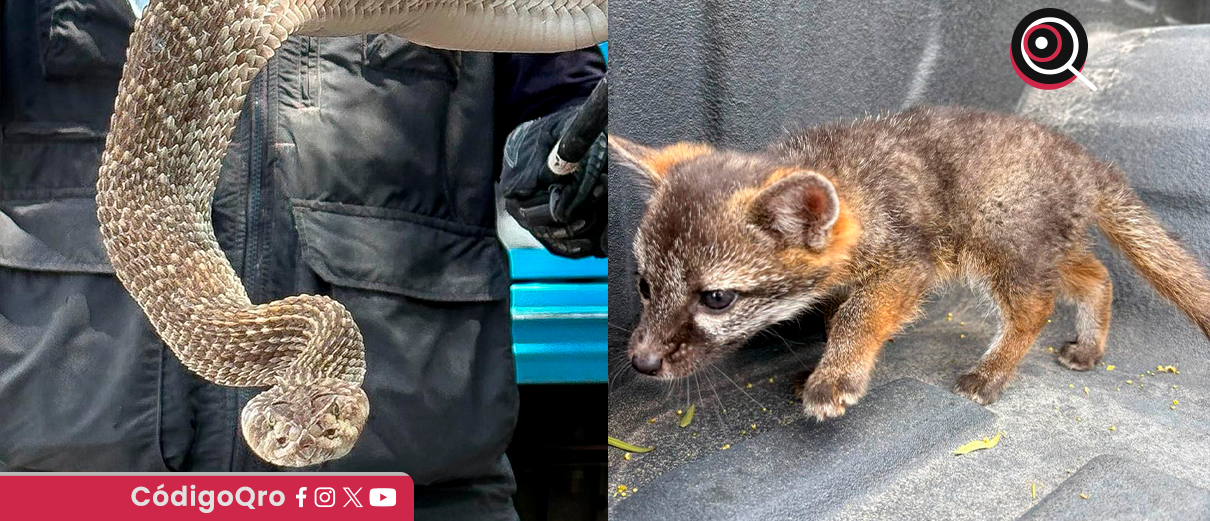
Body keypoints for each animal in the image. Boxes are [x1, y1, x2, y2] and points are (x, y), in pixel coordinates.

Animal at [611, 105, 1210, 421]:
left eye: (716, 298)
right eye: (644, 285)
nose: (641, 362)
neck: (854, 185)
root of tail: (1087, 161)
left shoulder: (903, 269)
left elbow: (856, 319)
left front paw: (837, 376)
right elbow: (835, 316)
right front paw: (825, 363)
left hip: (1000, 249)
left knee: (1035, 308)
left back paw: (990, 376)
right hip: (1041, 250)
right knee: (1097, 274)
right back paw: (1089, 346)